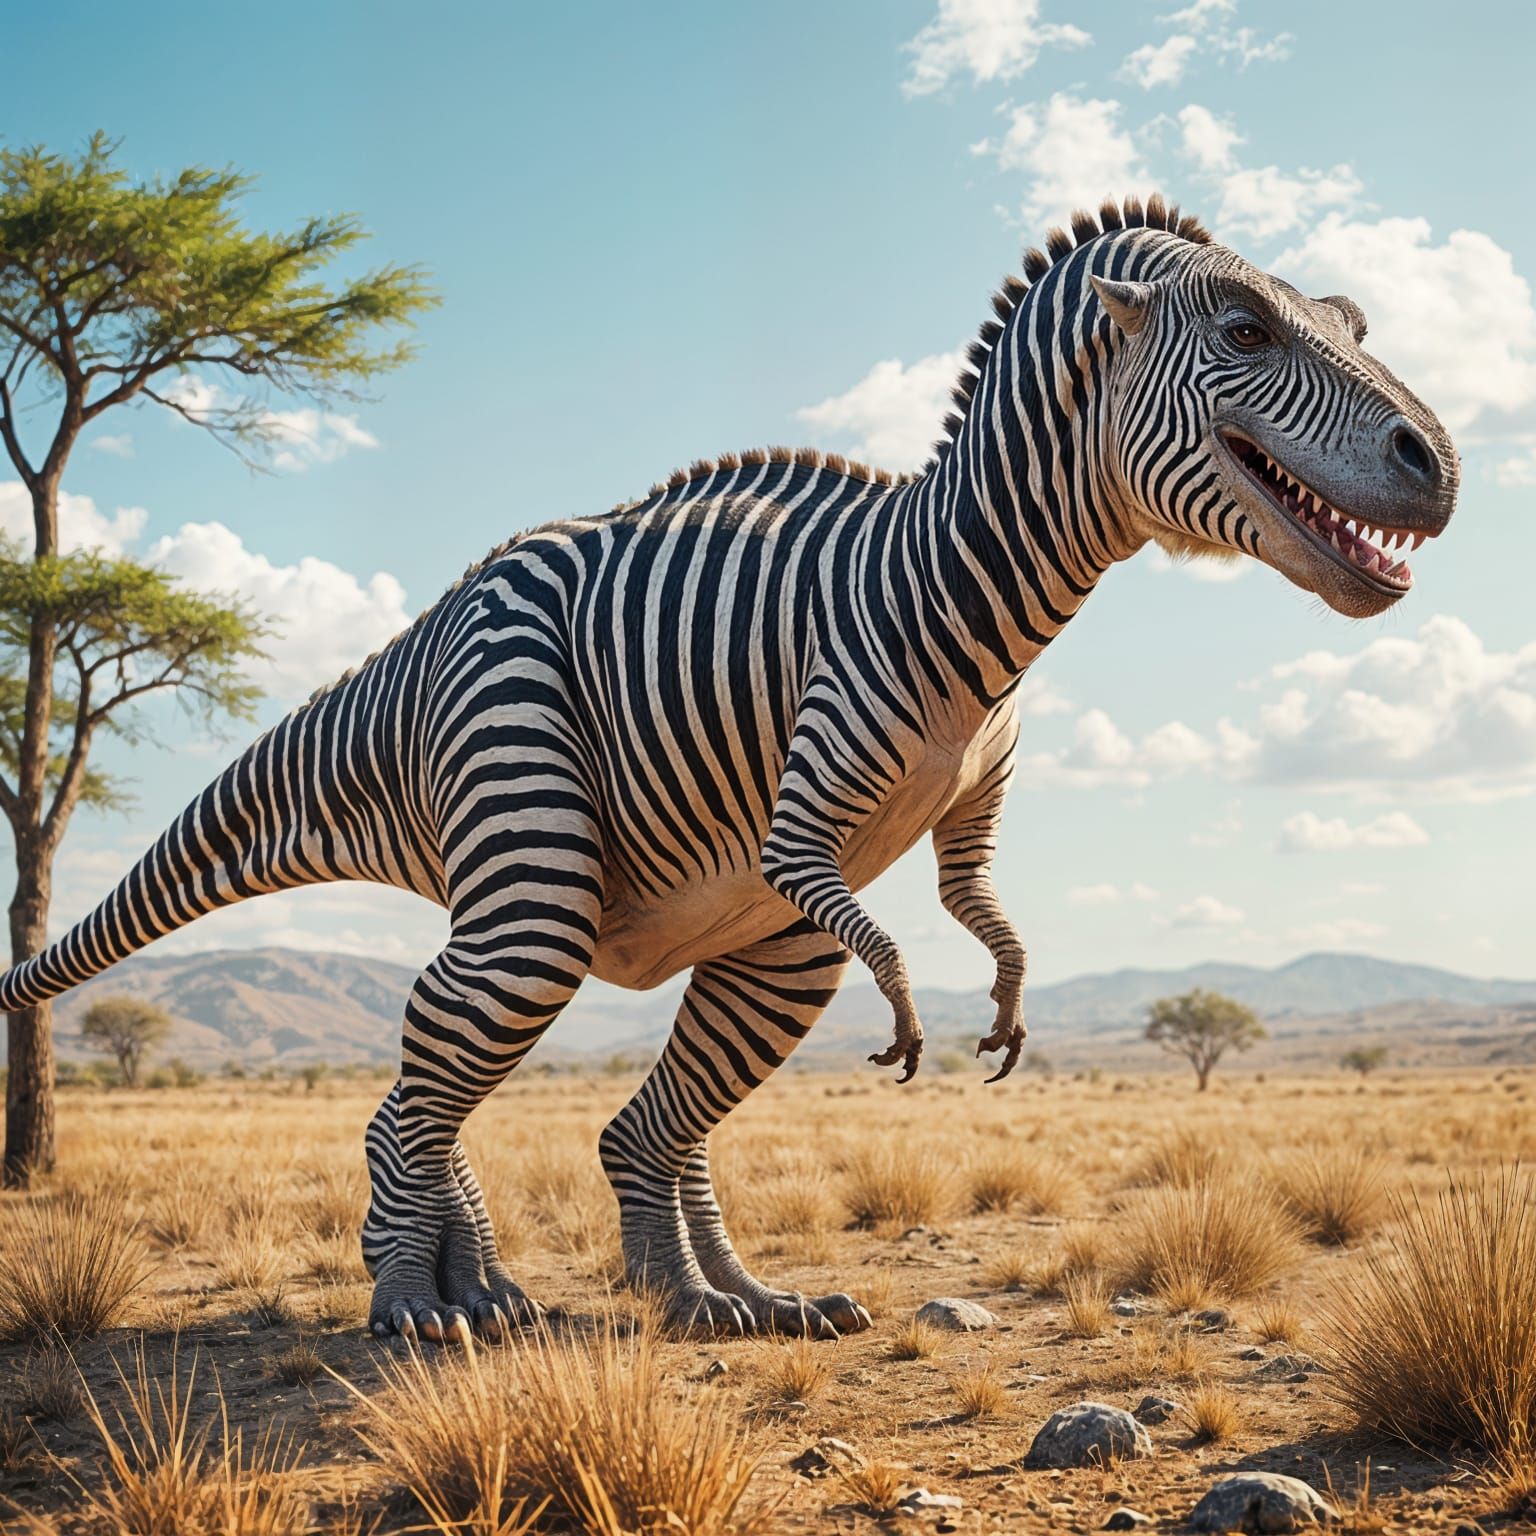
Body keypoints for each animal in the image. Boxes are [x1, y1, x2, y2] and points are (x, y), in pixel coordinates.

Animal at [0, 196, 1458, 1343]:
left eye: (1353, 319)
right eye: (1245, 331)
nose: (1437, 467)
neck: (973, 590)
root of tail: (419, 639)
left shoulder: (954, 810)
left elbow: (976, 899)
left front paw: (1002, 986)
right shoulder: (806, 806)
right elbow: (859, 907)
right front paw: (920, 1004)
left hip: (735, 940)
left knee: (599, 1116)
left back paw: (698, 1300)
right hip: (523, 806)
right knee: (441, 1062)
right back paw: (421, 1302)